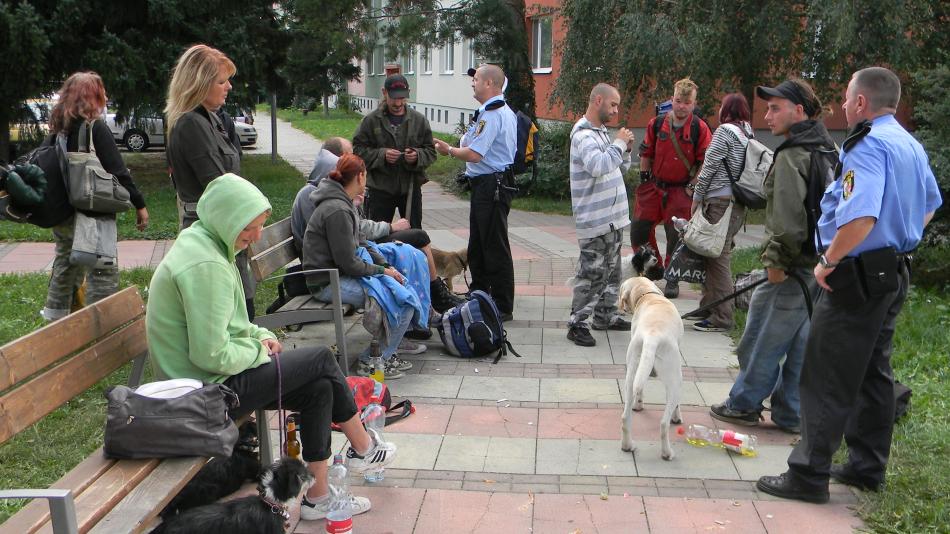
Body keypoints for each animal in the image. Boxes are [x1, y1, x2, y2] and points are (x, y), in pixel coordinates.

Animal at [616, 276, 684, 460]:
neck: (647, 296)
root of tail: (652, 337)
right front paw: (677, 417)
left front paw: (639, 405)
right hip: (675, 380)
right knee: (663, 424)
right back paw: (667, 453)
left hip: (631, 375)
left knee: (625, 418)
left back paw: (627, 446)